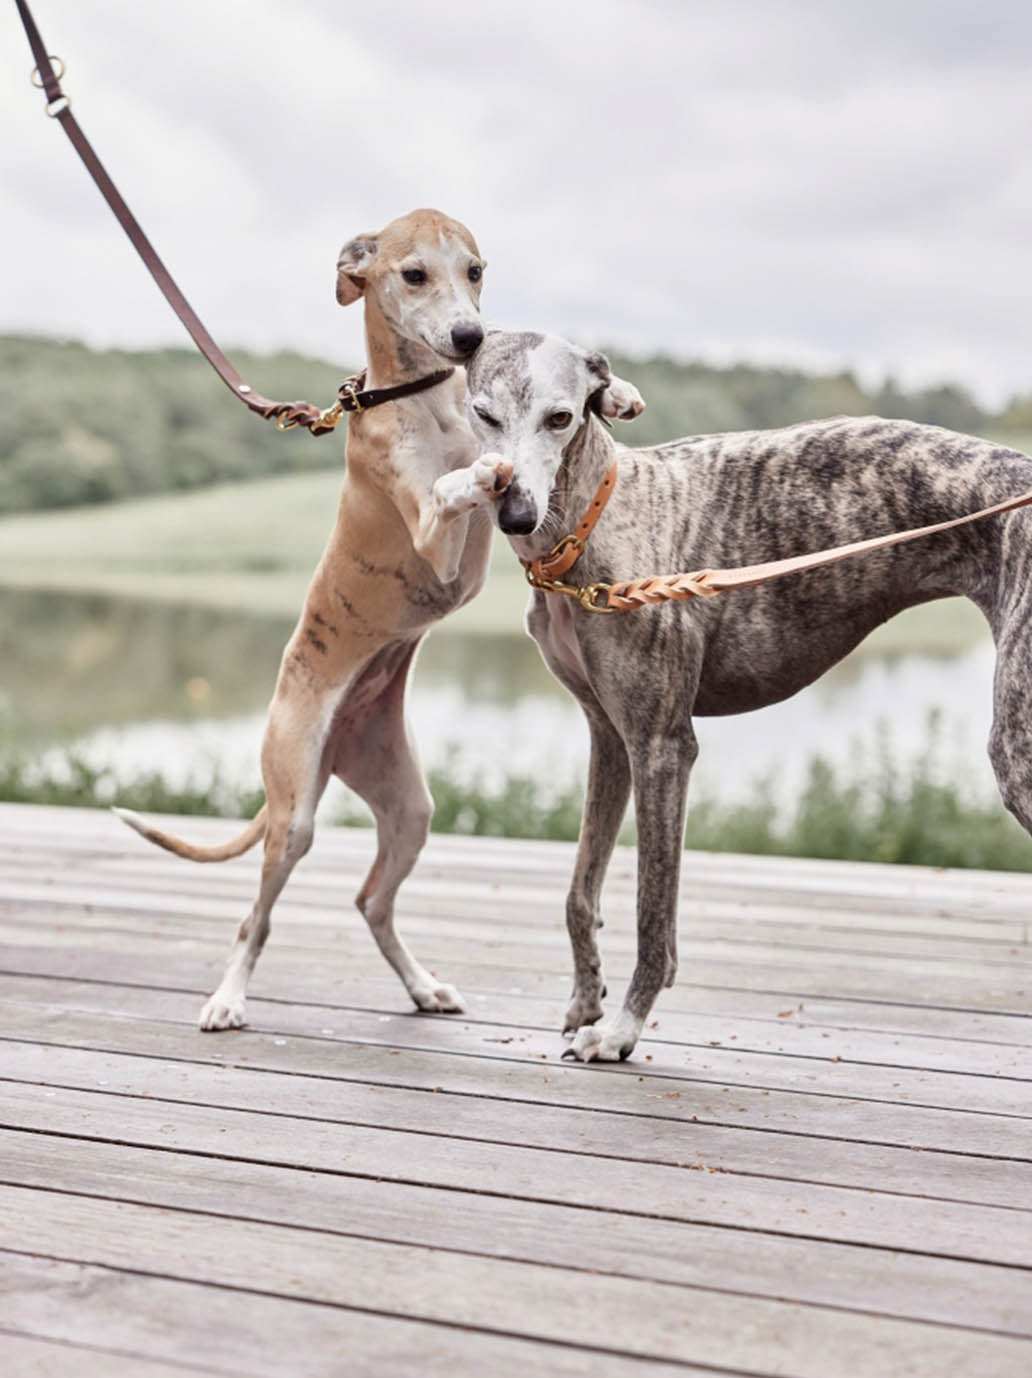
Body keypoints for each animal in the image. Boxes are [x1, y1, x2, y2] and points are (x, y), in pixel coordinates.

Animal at [115, 209, 512, 1030]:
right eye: (414, 274)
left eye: (476, 270)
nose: (469, 339)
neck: (426, 401)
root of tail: (334, 743)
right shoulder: (436, 542)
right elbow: (453, 486)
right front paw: (482, 469)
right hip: (294, 811)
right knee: (254, 920)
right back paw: (226, 1000)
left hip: (408, 804)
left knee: (370, 902)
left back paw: (423, 988)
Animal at [465, 330, 1030, 1063]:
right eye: (483, 413)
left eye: (560, 418)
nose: (516, 513)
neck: (594, 523)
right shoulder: (610, 737)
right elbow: (579, 892)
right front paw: (585, 1003)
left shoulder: (662, 747)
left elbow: (654, 913)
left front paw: (620, 1030)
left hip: (1016, 750)